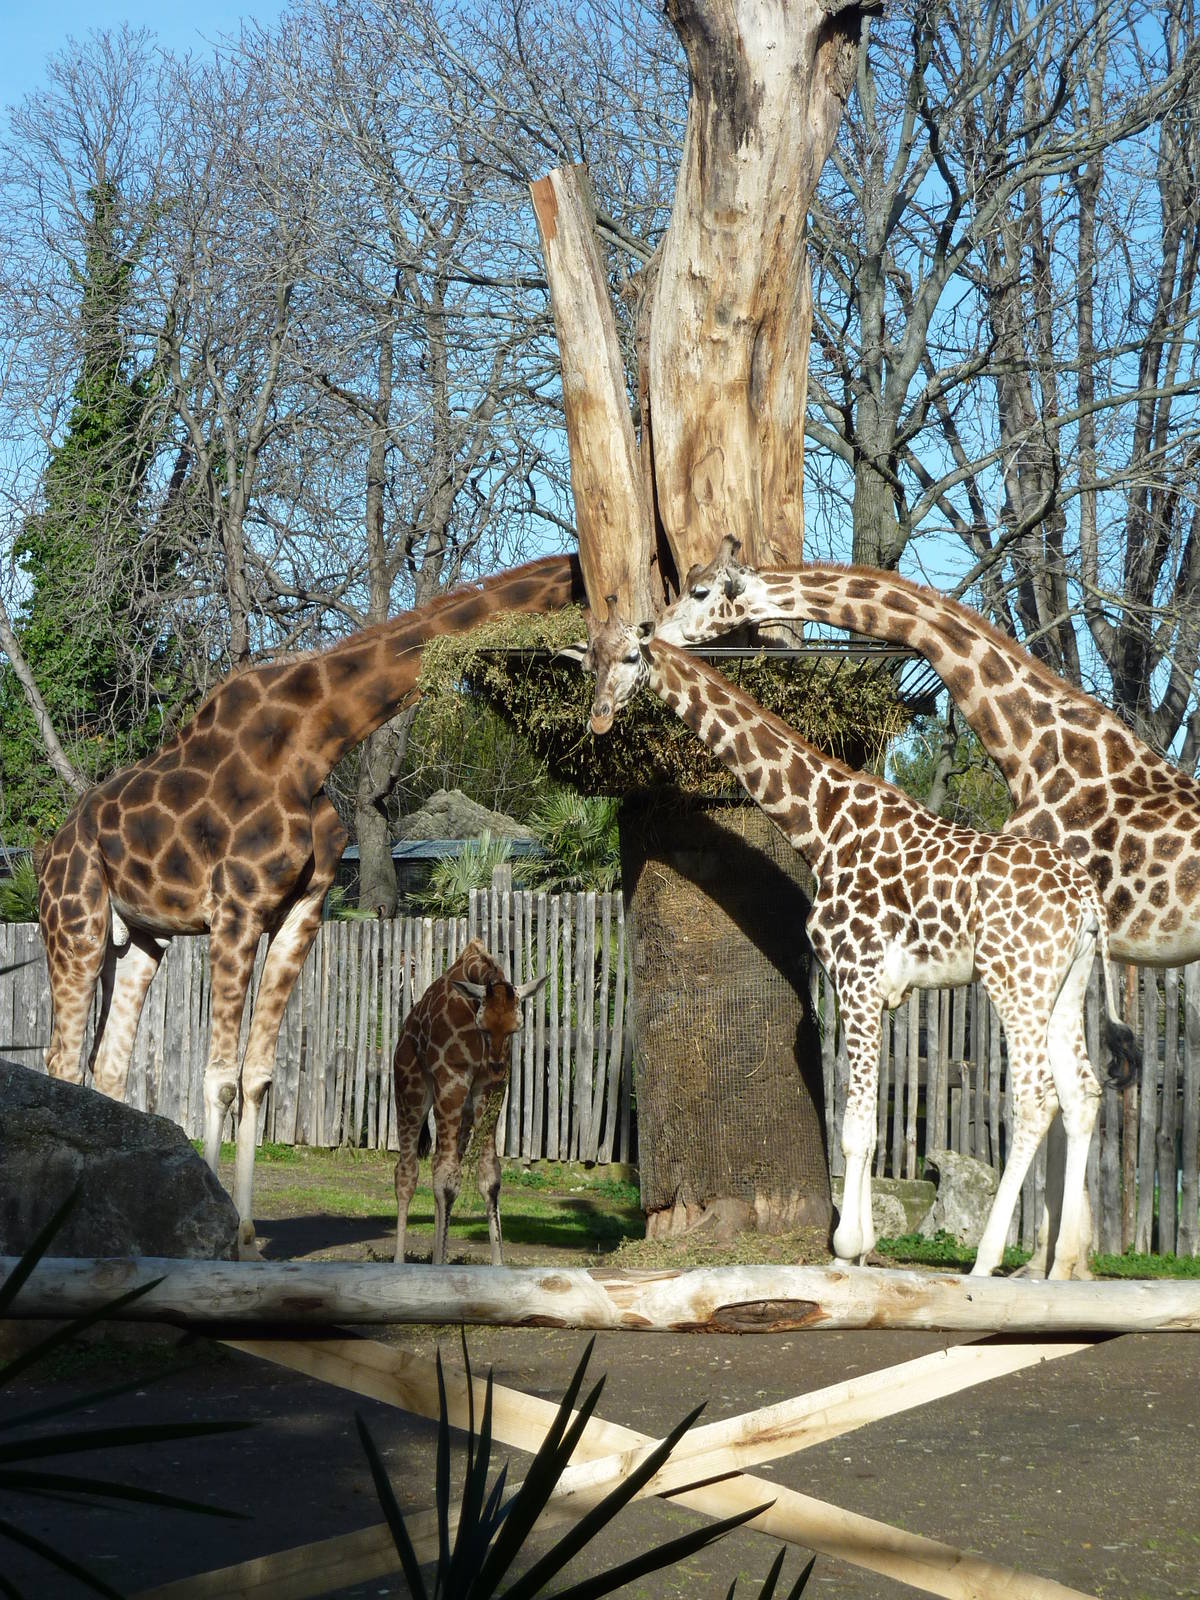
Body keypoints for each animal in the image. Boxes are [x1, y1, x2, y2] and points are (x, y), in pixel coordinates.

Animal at [392, 939, 547, 1266]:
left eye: (516, 1028)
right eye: (483, 1027)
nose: (498, 1066)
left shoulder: (488, 1089)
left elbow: (489, 1176)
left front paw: (497, 1265)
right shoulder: (452, 1079)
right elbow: (446, 1178)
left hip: (461, 1113)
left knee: (439, 1164)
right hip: (410, 1090)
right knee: (407, 1172)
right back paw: (399, 1262)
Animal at [571, 609, 1139, 1276]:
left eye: (632, 657)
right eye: (589, 661)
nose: (600, 715)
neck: (821, 824)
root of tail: (1087, 900)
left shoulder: (855, 974)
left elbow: (854, 1128)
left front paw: (846, 1248)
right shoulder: (875, 991)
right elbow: (863, 1122)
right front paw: (862, 1246)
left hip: (1014, 979)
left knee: (1035, 1098)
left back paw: (987, 1261)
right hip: (1066, 983)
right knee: (1083, 1093)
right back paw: (1065, 1265)